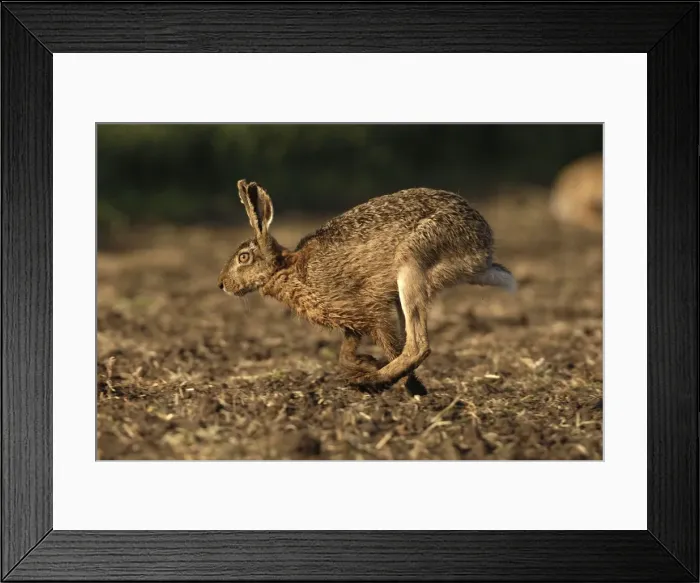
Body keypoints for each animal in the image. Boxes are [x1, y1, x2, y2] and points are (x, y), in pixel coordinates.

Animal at [218, 179, 516, 391]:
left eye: (243, 257)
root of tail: (483, 250)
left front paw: (410, 386)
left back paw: (370, 384)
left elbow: (391, 345)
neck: (286, 267)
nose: (221, 284)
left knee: (417, 345)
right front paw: (368, 363)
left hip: (412, 265)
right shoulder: (351, 320)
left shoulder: (369, 308)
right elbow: (345, 354)